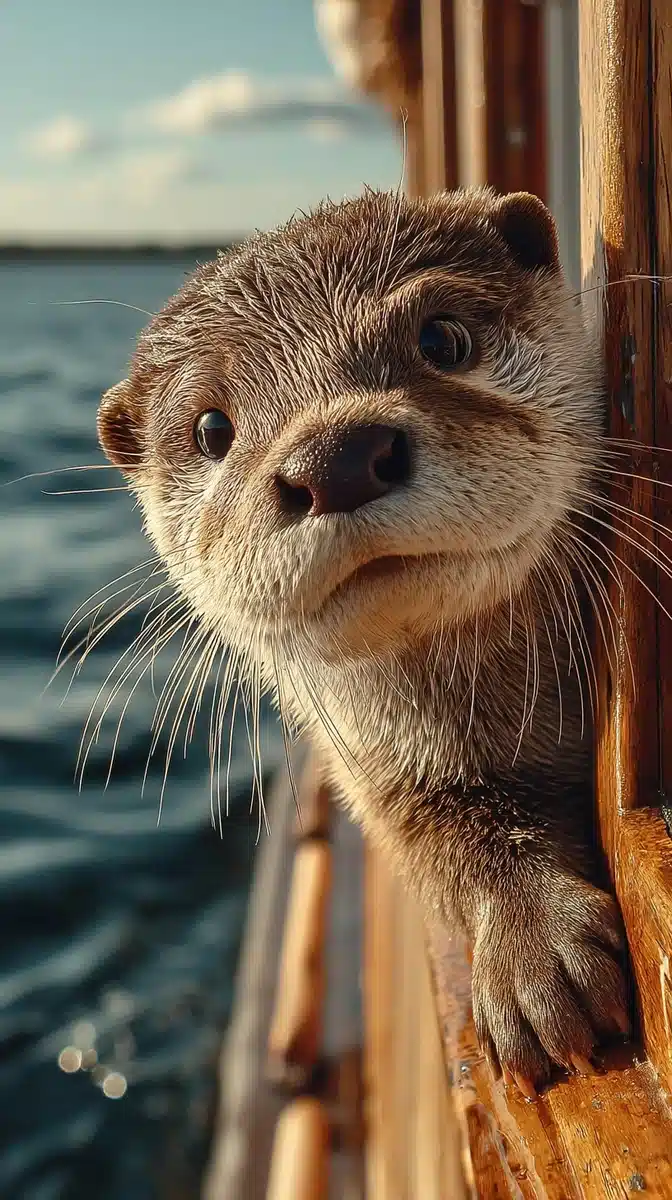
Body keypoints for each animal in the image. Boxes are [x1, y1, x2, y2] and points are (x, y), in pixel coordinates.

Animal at [97, 187, 629, 1097]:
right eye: (211, 429)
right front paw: (533, 949)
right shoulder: (387, 773)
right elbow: (448, 848)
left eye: (442, 339)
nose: (336, 457)